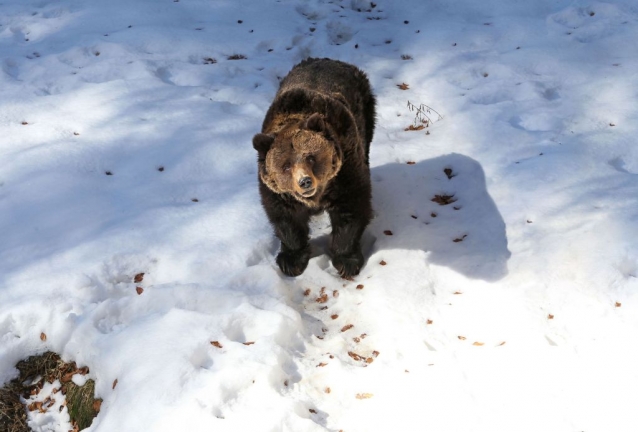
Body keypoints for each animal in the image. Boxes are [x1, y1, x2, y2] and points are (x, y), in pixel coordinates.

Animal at [254, 57, 376, 278]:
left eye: (311, 157)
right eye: (286, 166)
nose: (305, 181)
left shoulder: (345, 172)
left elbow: (350, 210)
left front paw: (346, 261)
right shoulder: (278, 193)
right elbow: (286, 219)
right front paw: (291, 260)